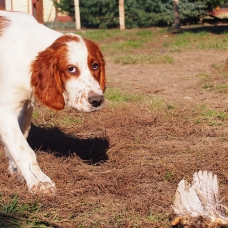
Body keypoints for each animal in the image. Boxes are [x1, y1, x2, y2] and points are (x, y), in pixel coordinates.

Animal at [0, 9, 105, 193]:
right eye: (71, 69)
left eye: (95, 65)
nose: (97, 100)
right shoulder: (5, 110)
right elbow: (24, 149)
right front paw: (39, 182)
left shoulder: (26, 106)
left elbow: (18, 139)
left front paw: (17, 171)